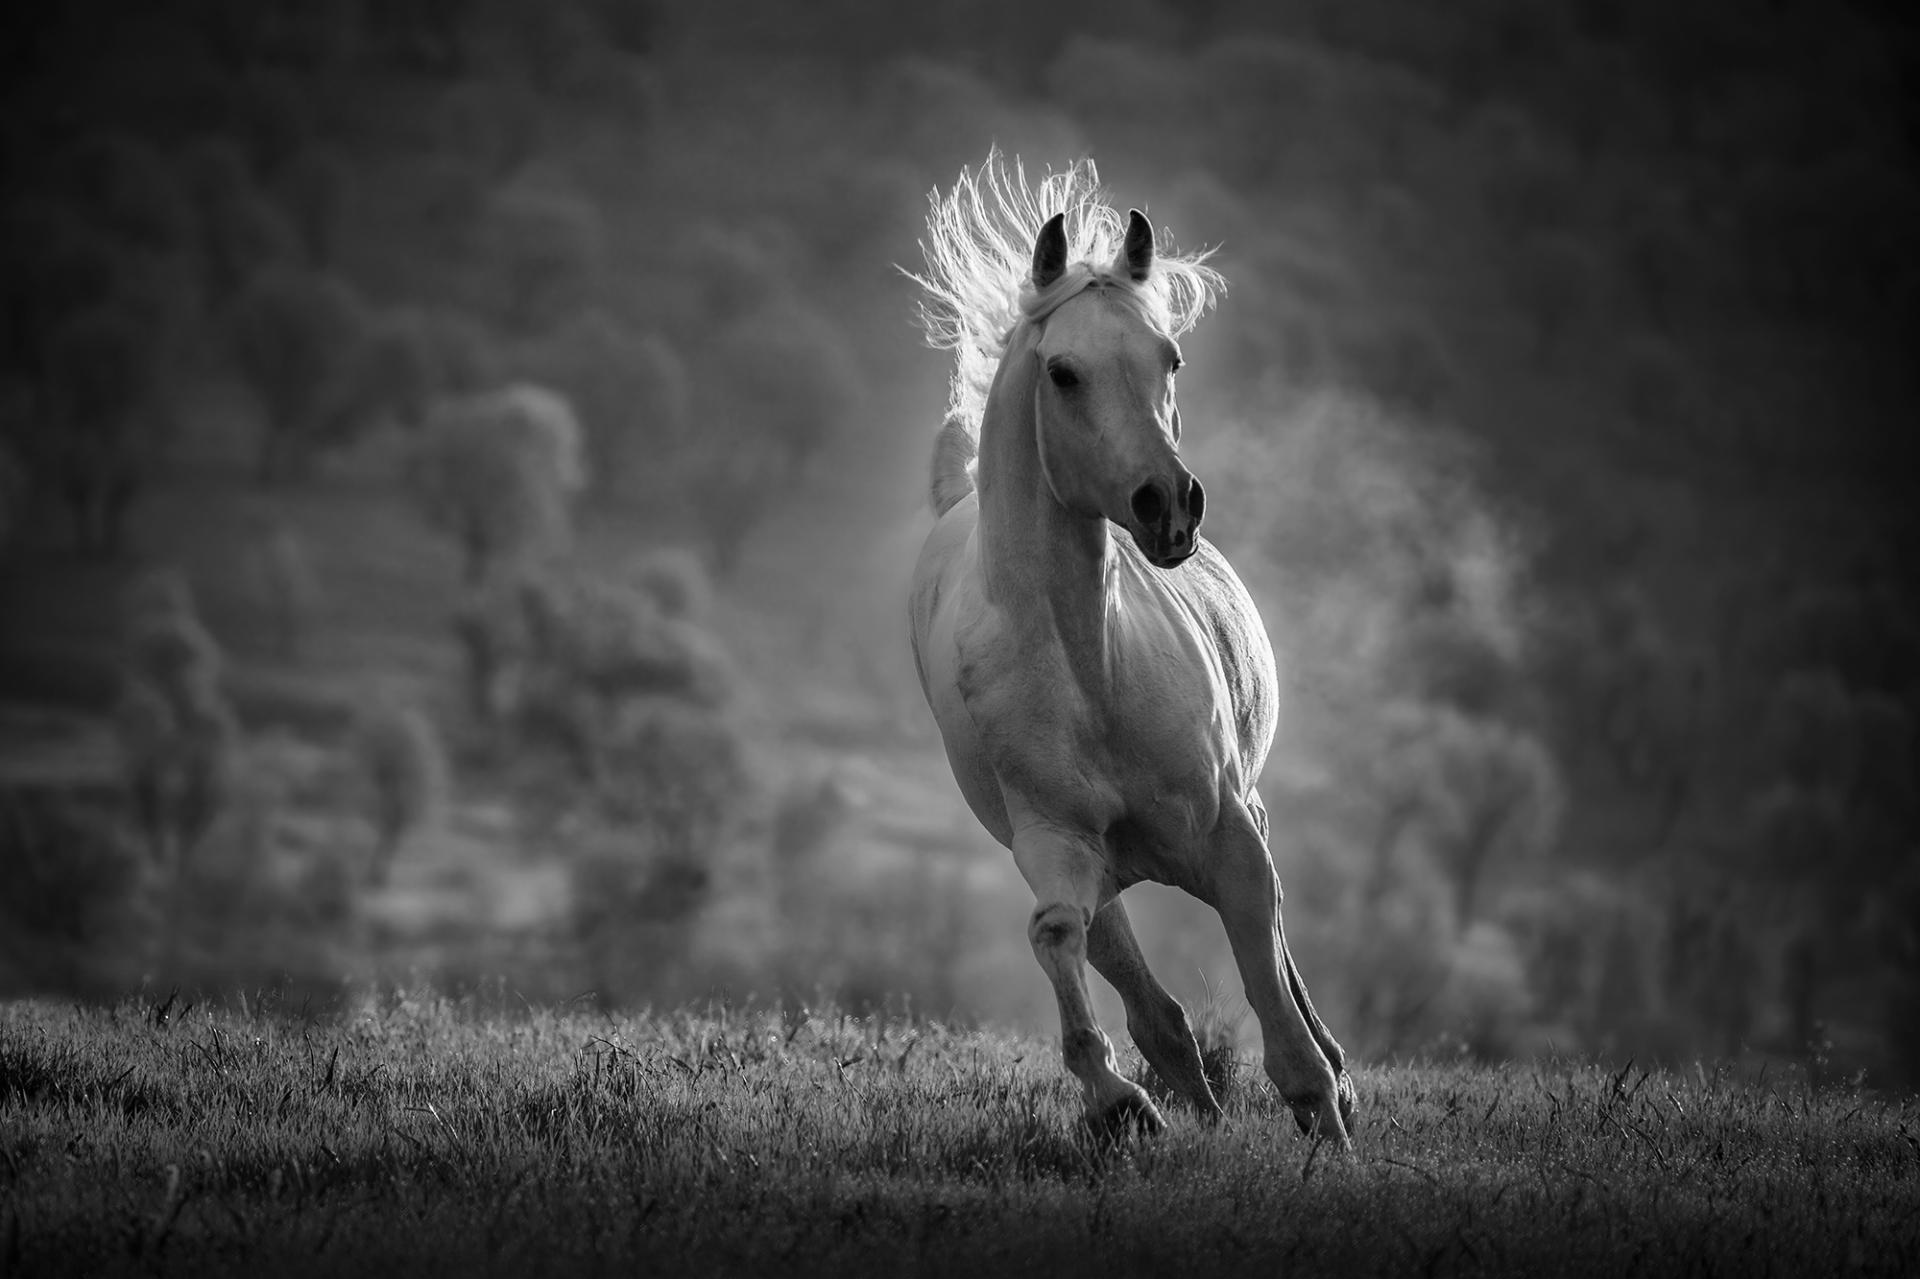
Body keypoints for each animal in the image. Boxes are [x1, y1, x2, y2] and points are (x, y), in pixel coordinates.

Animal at [906, 154, 1359, 1136]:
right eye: (1064, 372)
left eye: (1170, 357)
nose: (1169, 506)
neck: (1092, 672)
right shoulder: (1057, 848)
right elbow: (1059, 942)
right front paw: (1120, 1102)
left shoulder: (1230, 834)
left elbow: (1277, 1002)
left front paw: (1328, 1115)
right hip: (1102, 872)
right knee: (1151, 1001)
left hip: (1238, 816)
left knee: (1277, 948)